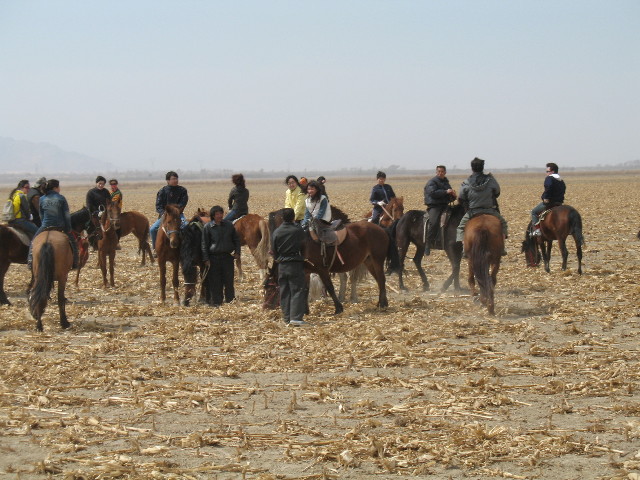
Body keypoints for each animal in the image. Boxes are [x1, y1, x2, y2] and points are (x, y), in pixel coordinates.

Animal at [262, 221, 398, 316]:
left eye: (270, 289)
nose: (265, 307)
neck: (303, 245)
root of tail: (381, 229)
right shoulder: (306, 273)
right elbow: (305, 289)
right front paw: (305, 310)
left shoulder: (322, 270)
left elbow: (329, 287)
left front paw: (338, 308)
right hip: (369, 261)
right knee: (379, 281)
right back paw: (382, 302)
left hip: (377, 260)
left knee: (381, 279)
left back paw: (383, 304)